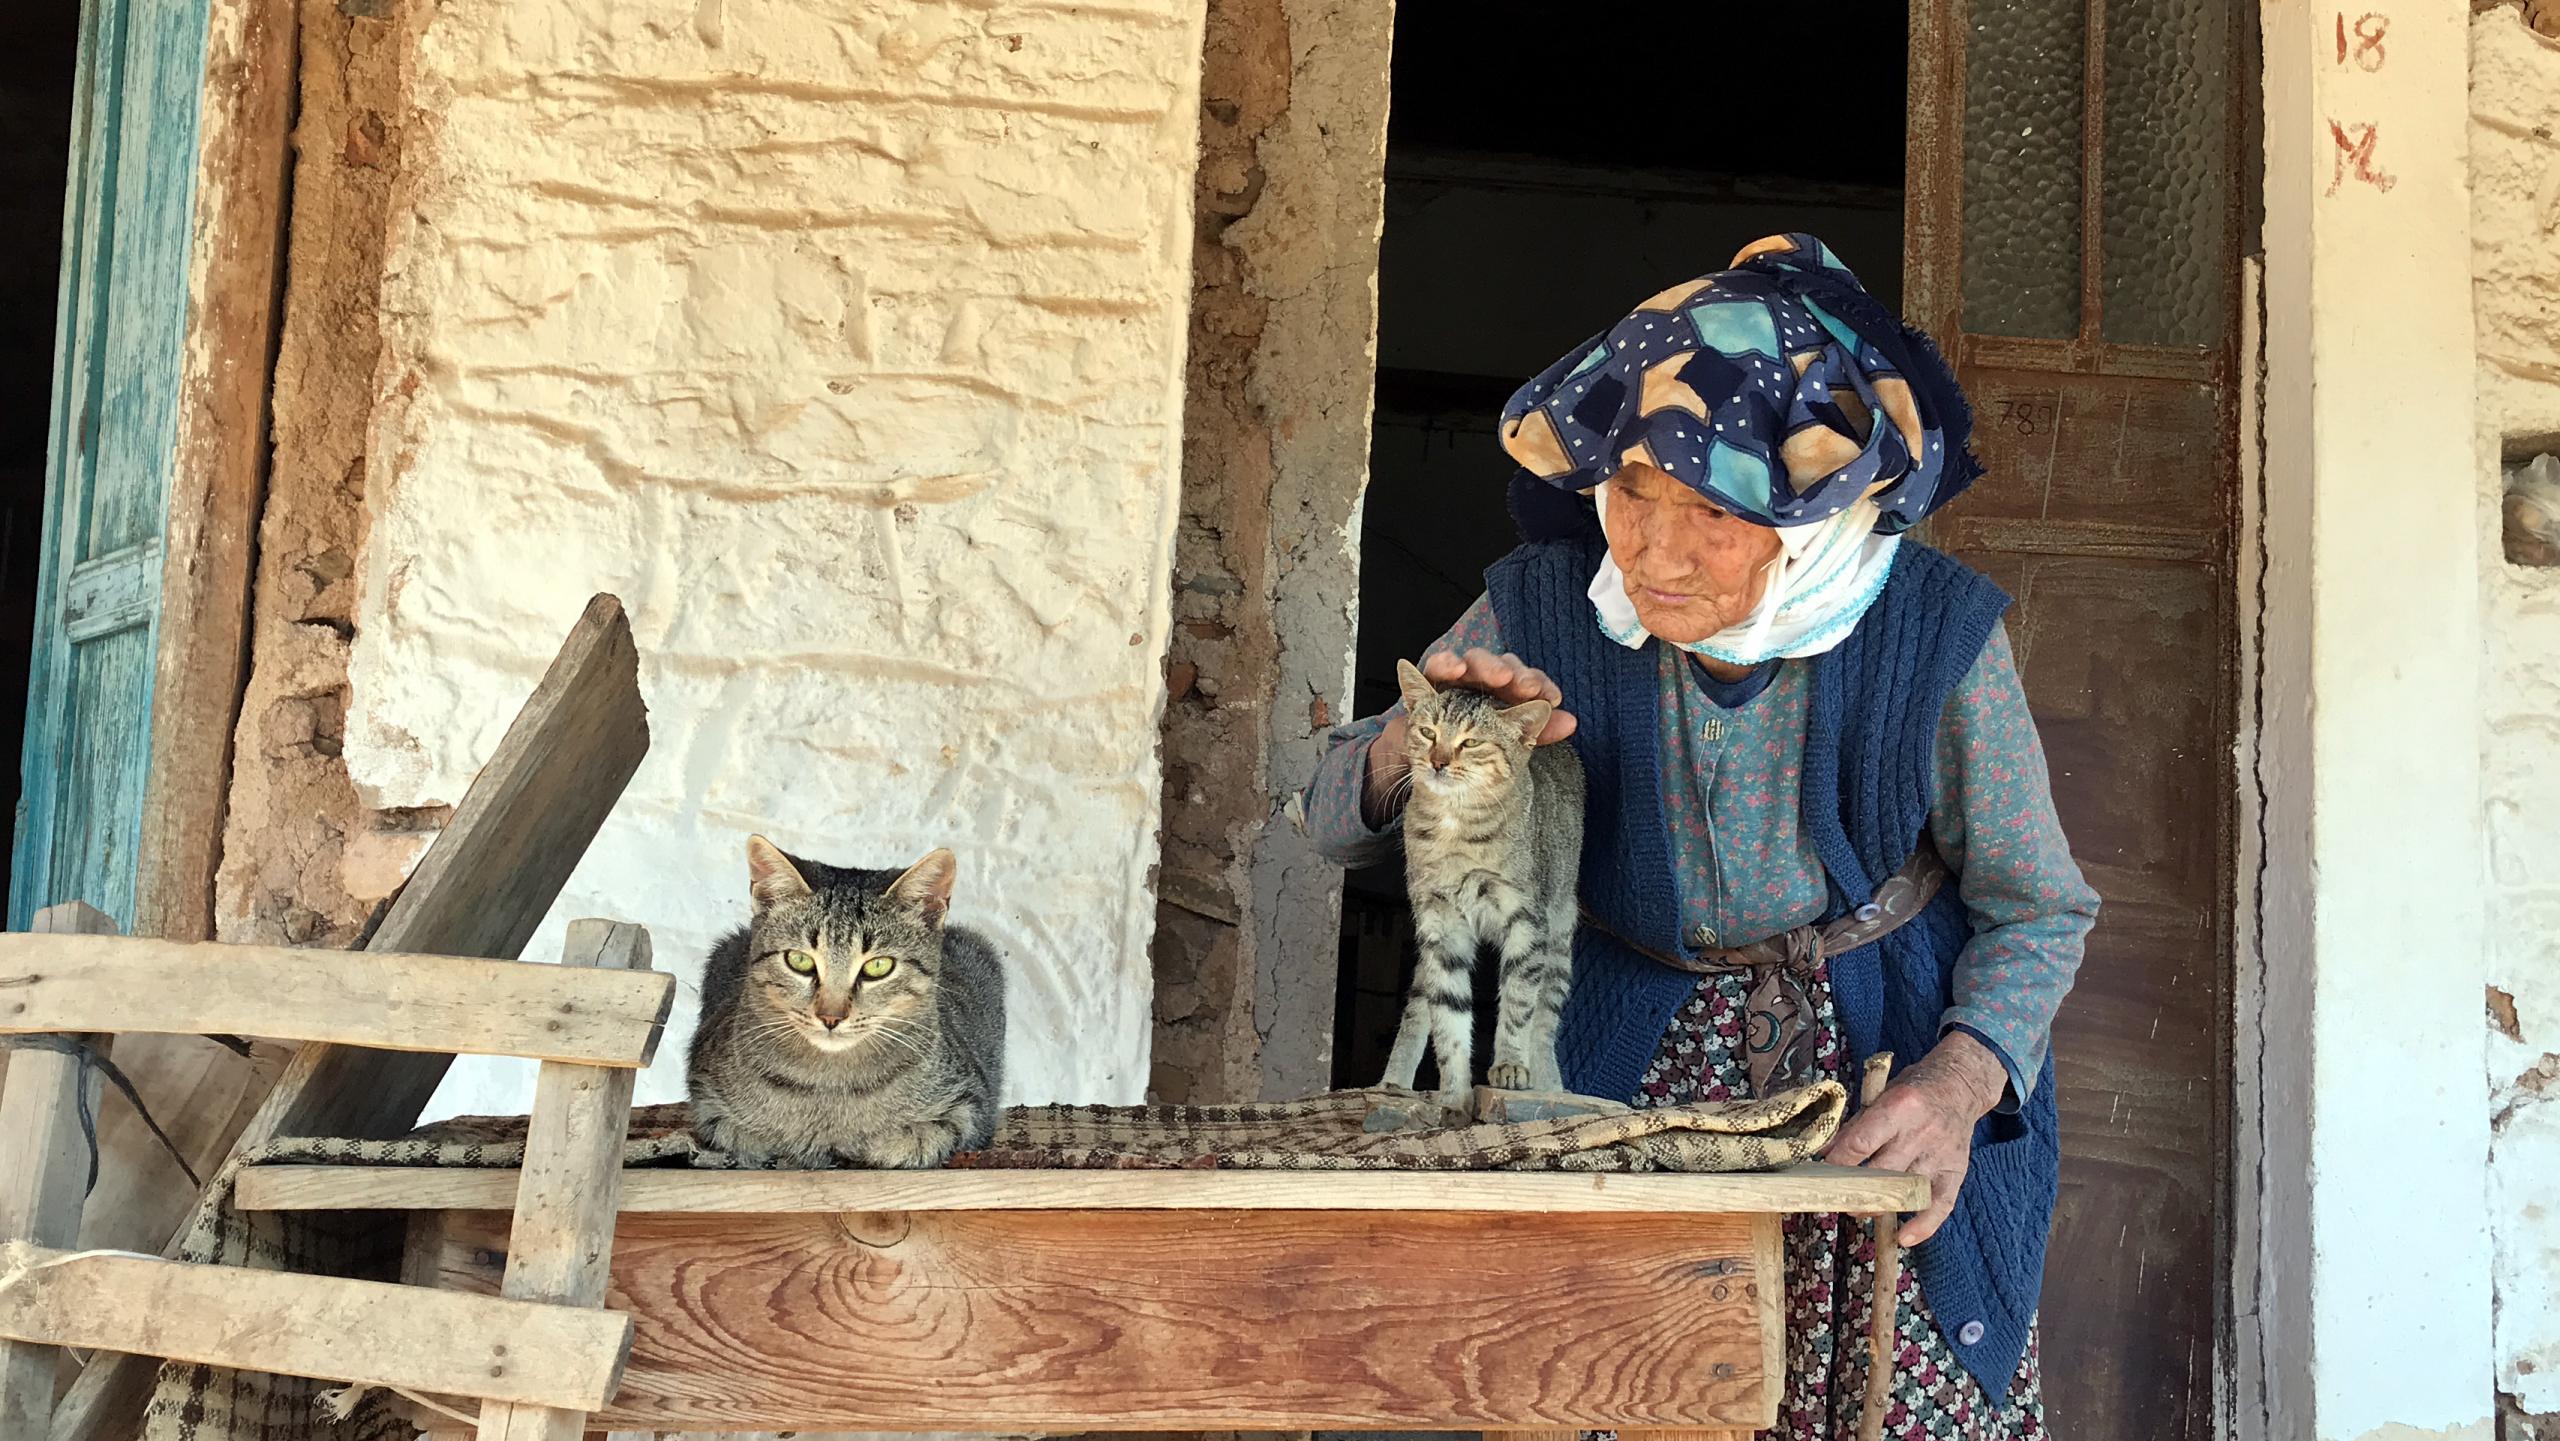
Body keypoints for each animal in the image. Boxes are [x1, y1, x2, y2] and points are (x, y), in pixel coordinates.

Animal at [686, 839, 1003, 1167]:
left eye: (878, 966)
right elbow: (732, 1131)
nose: (830, 1017)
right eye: (799, 960)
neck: (829, 1089)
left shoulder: (972, 1102)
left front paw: (897, 1142)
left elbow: (937, 1130)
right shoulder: (706, 1096)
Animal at [1382, 655, 1576, 1115]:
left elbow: (1520, 1004)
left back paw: (1551, 1085)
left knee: (1544, 1022)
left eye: (1470, 743)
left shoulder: (1528, 921)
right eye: (1428, 732)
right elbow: (1448, 1019)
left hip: (1559, 940)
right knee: (1418, 1006)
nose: (1437, 761)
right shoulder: (1440, 925)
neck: (1456, 828)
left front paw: (1510, 1065)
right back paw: (1391, 1083)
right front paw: (1454, 1097)